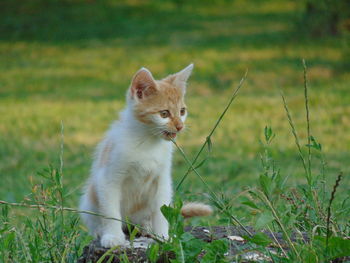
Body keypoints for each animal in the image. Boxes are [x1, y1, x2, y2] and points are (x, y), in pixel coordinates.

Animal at [79, 63, 211, 248]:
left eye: (182, 111)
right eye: (164, 114)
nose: (180, 126)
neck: (147, 142)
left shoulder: (162, 180)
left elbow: (162, 210)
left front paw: (163, 236)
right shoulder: (108, 178)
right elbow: (111, 211)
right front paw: (112, 236)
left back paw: (147, 227)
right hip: (89, 200)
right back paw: (100, 231)